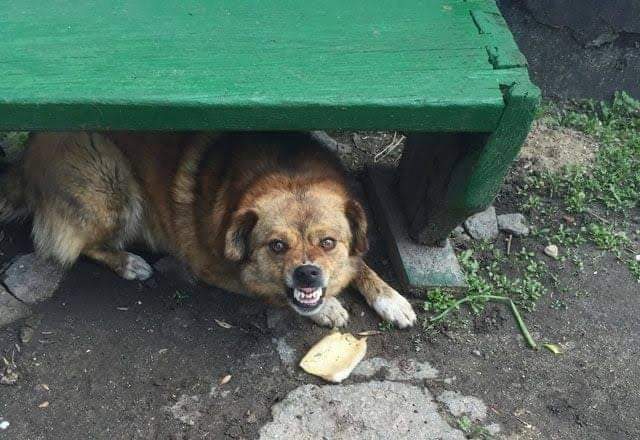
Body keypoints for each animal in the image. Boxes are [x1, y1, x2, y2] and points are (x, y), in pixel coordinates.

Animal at [0, 132, 416, 328]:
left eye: (328, 243)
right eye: (276, 246)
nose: (308, 274)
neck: (287, 168)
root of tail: (23, 162)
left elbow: (361, 263)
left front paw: (390, 299)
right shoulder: (215, 268)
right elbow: (270, 291)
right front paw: (327, 307)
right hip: (109, 183)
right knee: (76, 245)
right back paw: (128, 262)